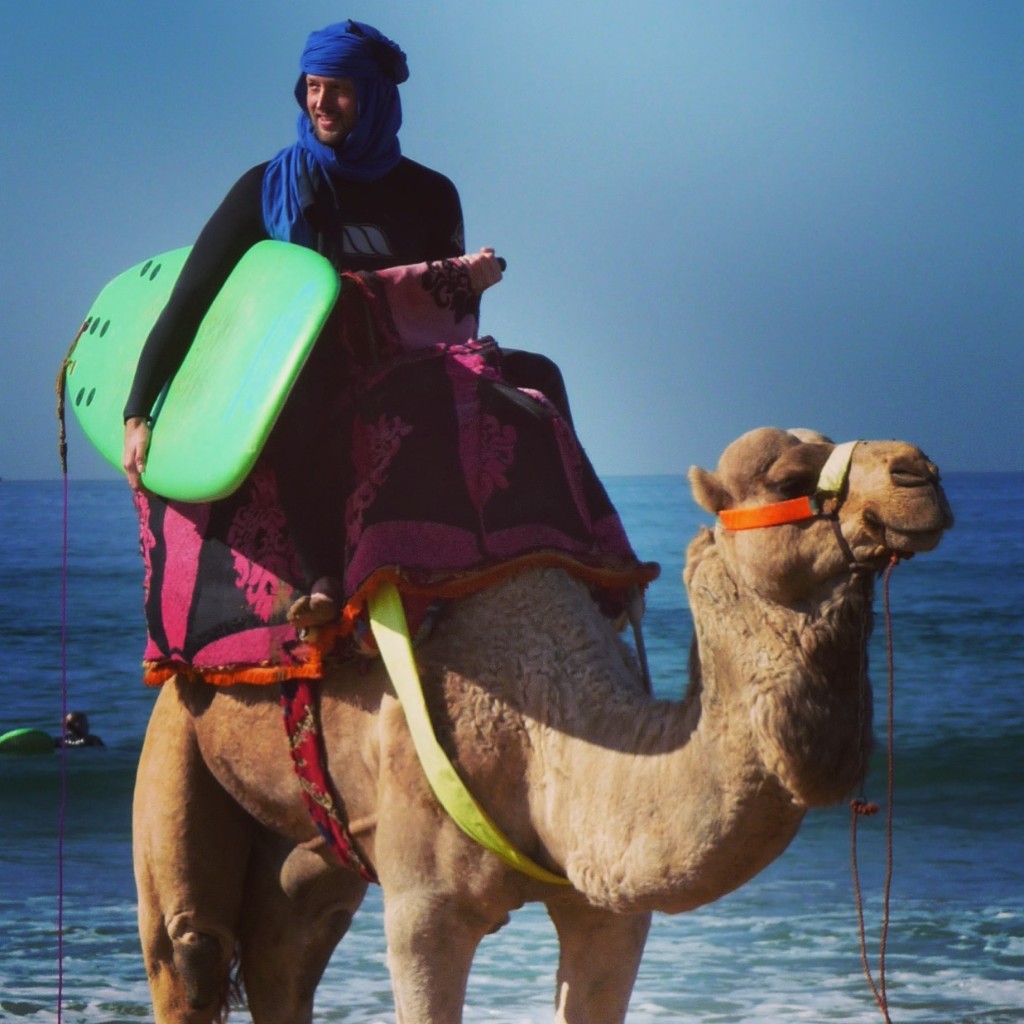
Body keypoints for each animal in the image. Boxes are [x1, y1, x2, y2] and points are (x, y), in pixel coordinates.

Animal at [132, 426, 952, 1023]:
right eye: (786, 480)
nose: (920, 473)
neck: (543, 732)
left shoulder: (608, 911)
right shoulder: (424, 910)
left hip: (310, 852)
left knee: (285, 952)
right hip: (177, 735)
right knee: (191, 946)